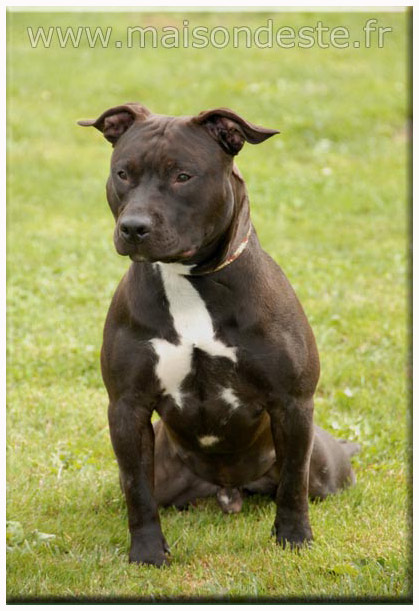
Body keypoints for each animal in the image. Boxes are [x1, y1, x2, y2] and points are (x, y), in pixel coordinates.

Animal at [78, 104, 359, 566]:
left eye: (183, 176)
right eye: (123, 173)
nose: (133, 227)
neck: (187, 281)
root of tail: (228, 491)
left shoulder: (293, 403)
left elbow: (293, 485)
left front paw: (294, 539)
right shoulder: (126, 407)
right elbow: (137, 492)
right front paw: (147, 554)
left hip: (323, 465)